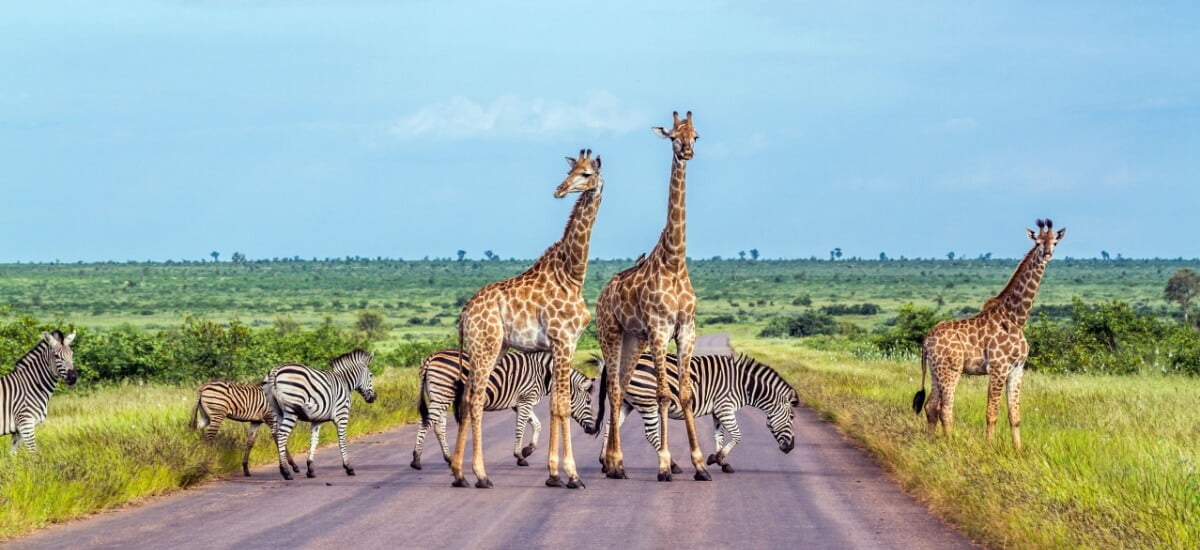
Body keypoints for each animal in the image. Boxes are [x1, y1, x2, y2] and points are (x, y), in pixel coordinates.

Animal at [265, 349, 376, 480]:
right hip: (290, 411)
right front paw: (348, 467)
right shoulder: (342, 415)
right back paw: (286, 472)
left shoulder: (316, 420)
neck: (345, 383)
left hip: (277, 410)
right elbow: (342, 440)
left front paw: (310, 469)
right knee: (282, 434)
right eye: (371, 375)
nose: (374, 398)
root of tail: (276, 371)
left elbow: (314, 441)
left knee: (275, 434)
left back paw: (283, 468)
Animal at [410, 349, 596, 471]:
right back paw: (416, 460)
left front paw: (527, 450)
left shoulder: (519, 402)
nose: (593, 430)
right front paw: (520, 456)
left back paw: (449, 458)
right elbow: (521, 428)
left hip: (440, 396)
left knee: (438, 427)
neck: (545, 375)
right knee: (426, 423)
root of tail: (431, 357)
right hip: (443, 394)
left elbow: (537, 425)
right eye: (588, 402)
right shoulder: (526, 399)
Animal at [594, 352, 798, 474]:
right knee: (651, 434)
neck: (743, 385)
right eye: (792, 417)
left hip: (627, 402)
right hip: (647, 400)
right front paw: (717, 458)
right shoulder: (725, 406)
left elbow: (719, 436)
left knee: (611, 425)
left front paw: (720, 461)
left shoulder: (718, 410)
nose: (791, 448)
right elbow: (737, 436)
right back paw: (672, 465)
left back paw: (604, 461)